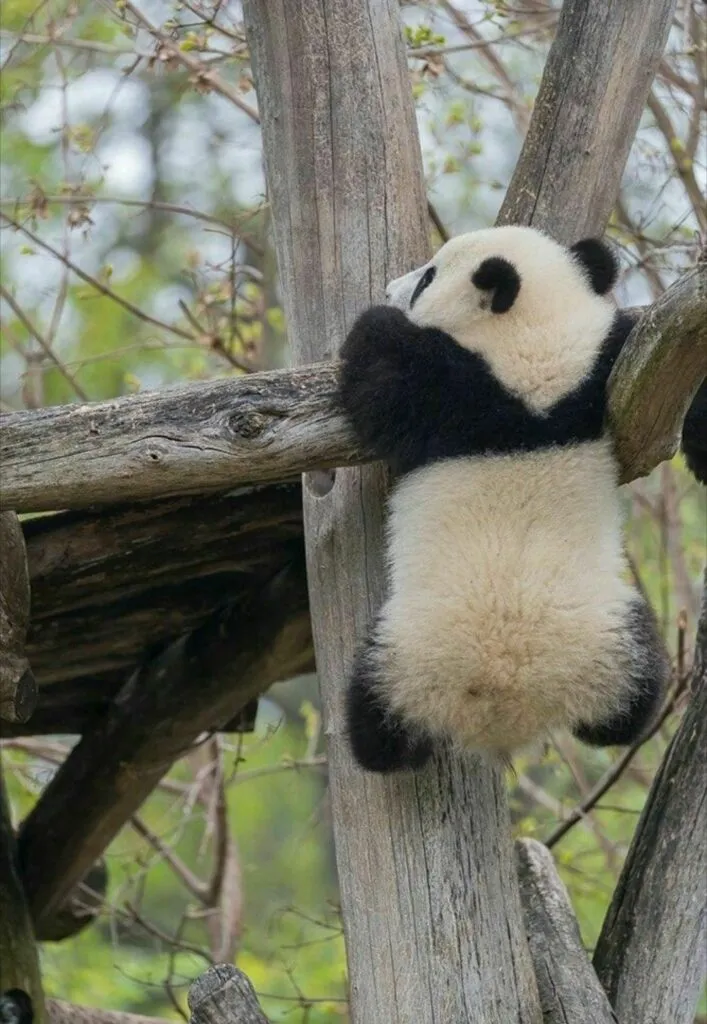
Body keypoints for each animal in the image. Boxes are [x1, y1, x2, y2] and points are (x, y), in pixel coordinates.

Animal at [338, 225, 672, 773]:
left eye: (427, 278)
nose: (389, 287)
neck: (533, 338)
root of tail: (506, 700)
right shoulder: (602, 364)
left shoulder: (451, 391)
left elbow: (382, 376)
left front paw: (374, 323)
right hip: (607, 643)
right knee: (632, 703)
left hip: (412, 654)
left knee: (375, 713)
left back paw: (377, 744)